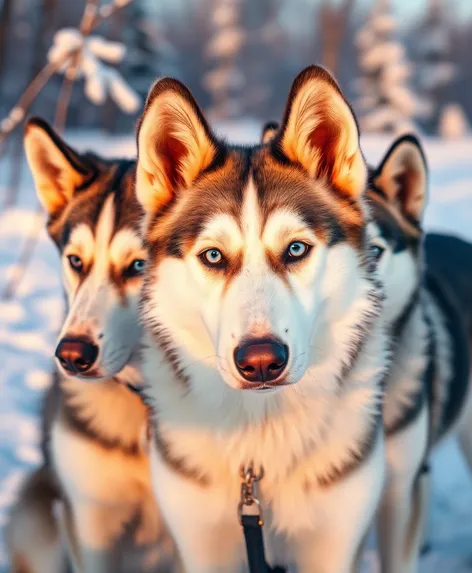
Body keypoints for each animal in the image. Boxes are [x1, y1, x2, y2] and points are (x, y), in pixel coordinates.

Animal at [135, 67, 390, 572]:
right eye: (213, 256)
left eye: (296, 249)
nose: (260, 362)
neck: (261, 440)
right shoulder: (201, 544)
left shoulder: (334, 544)